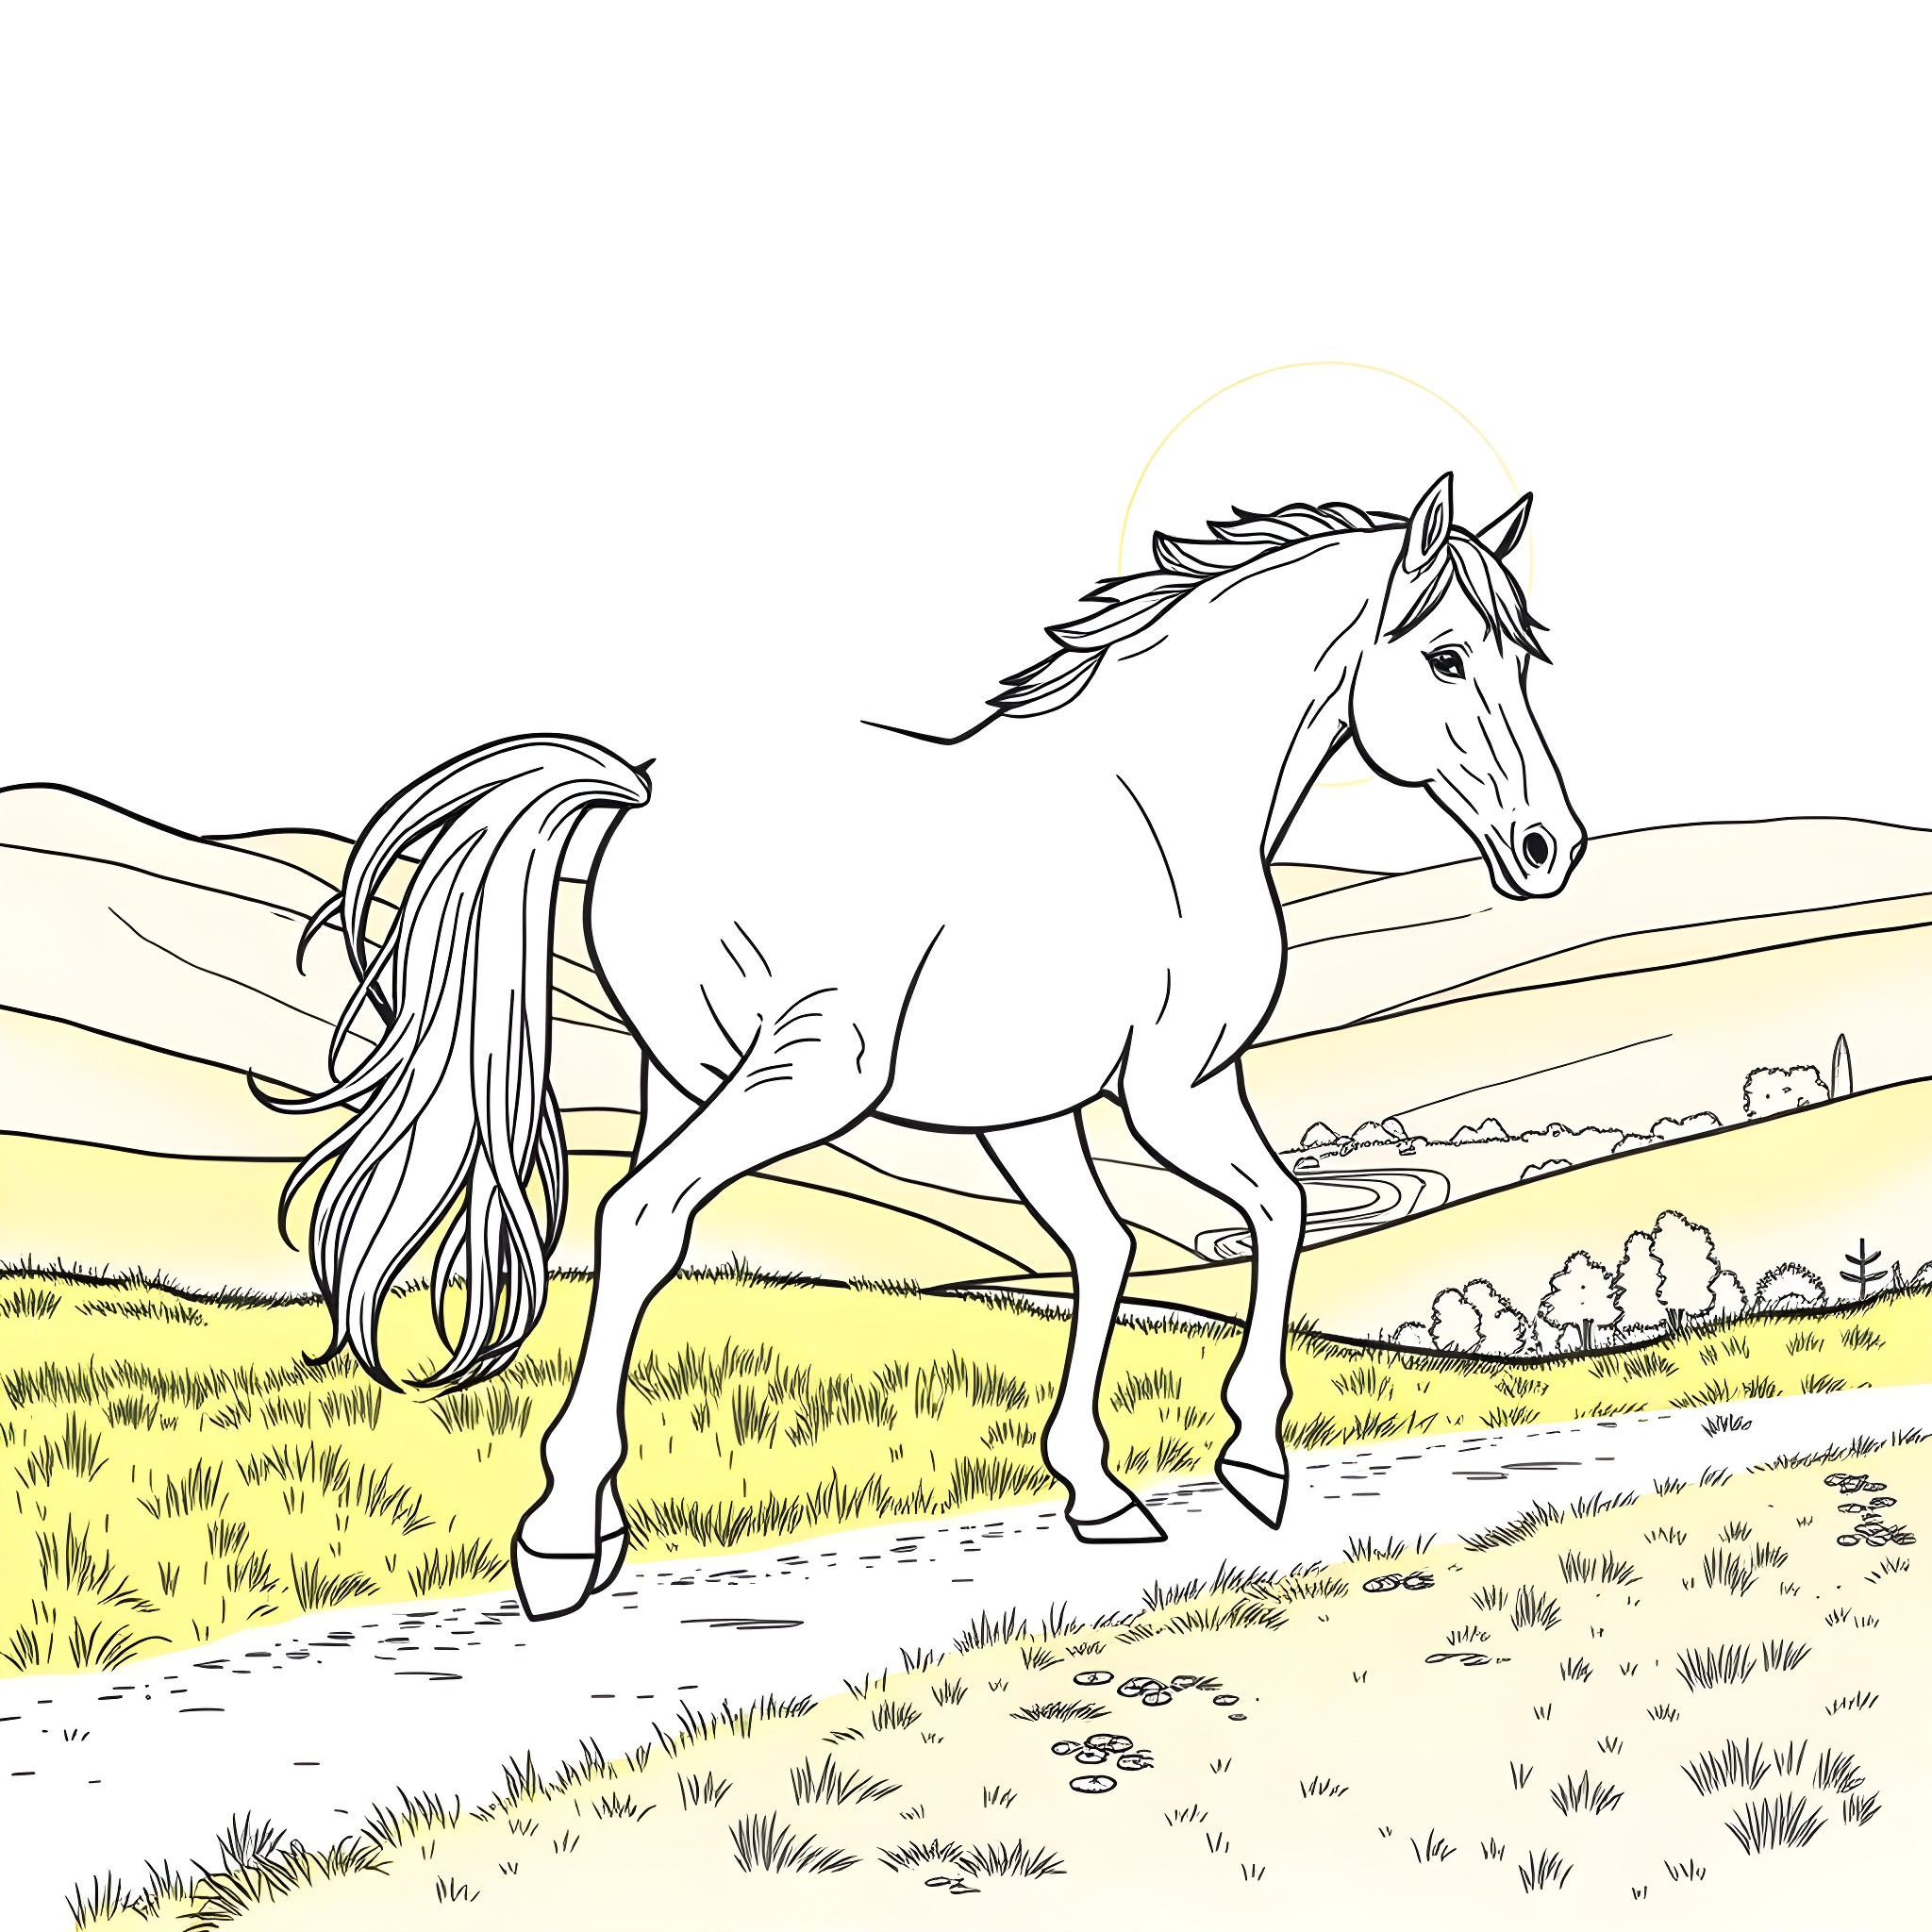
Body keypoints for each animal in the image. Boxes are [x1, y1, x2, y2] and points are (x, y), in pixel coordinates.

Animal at [276, 470, 1584, 1621]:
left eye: (1523, 660)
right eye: (1446, 655)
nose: (1547, 850)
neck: (1165, 799)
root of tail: (641, 789)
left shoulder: (1032, 1111)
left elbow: (1104, 1248)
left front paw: (1098, 1490)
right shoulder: (1176, 1085)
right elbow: (1277, 1206)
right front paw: (1254, 1460)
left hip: (684, 1074)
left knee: (640, 1231)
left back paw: (596, 1530)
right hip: (807, 1069)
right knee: (642, 1218)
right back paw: (555, 1543)